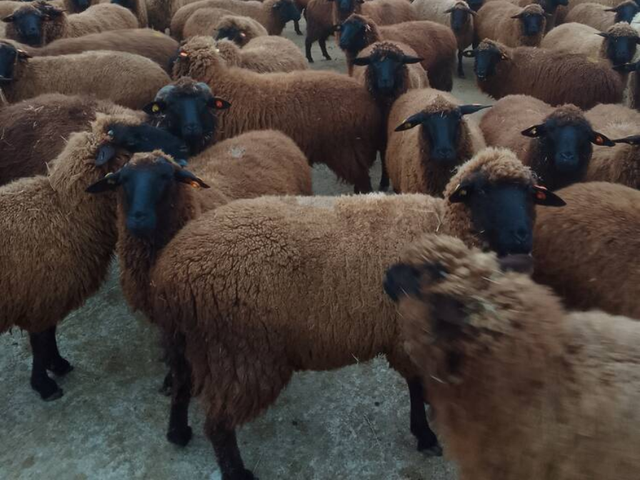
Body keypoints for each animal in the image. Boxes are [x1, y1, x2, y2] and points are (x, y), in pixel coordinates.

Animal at [0, 112, 190, 401]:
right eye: (132, 141)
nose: (183, 148)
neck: (64, 211)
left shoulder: (49, 294)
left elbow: (49, 334)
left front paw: (58, 364)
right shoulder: (40, 295)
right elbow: (40, 340)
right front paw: (45, 384)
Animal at [85, 146, 566, 476]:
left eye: (531, 194)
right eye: (480, 192)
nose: (521, 237)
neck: (442, 226)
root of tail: (170, 271)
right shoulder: (408, 332)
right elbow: (417, 386)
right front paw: (426, 433)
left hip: (189, 341)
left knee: (183, 385)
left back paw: (177, 432)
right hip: (244, 353)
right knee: (219, 424)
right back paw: (237, 472)